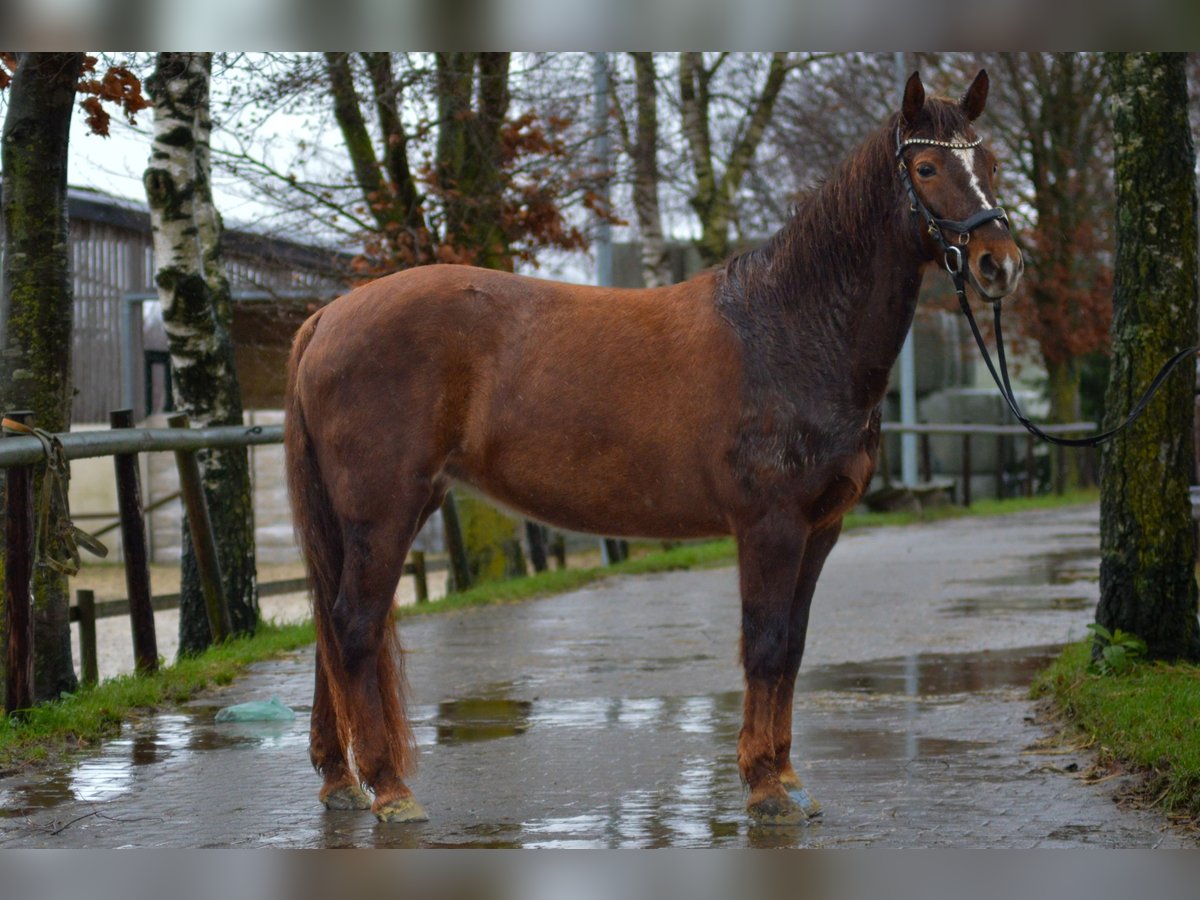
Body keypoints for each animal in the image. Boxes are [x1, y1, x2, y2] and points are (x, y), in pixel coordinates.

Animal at [283, 74, 1022, 830]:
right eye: (926, 168)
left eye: (990, 164)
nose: (1000, 264)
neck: (789, 330)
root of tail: (329, 316)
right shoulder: (770, 528)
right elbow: (764, 646)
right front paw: (764, 786)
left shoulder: (820, 530)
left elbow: (791, 649)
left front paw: (788, 780)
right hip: (384, 513)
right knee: (354, 627)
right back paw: (389, 790)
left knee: (329, 632)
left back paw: (341, 782)